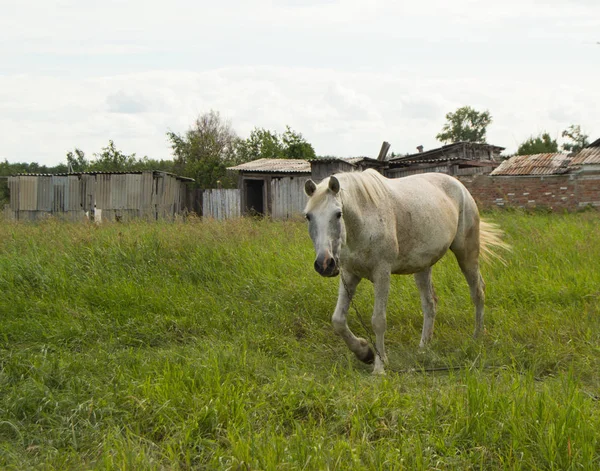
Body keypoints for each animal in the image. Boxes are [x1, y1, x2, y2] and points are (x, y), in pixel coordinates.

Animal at [304, 170, 506, 376]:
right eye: (309, 216)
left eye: (338, 214)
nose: (324, 264)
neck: (364, 220)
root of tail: (460, 187)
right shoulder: (349, 274)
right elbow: (338, 320)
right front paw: (365, 353)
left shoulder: (382, 273)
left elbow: (378, 320)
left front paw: (379, 366)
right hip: (423, 267)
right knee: (430, 304)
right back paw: (424, 347)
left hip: (466, 254)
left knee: (477, 292)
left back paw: (477, 338)